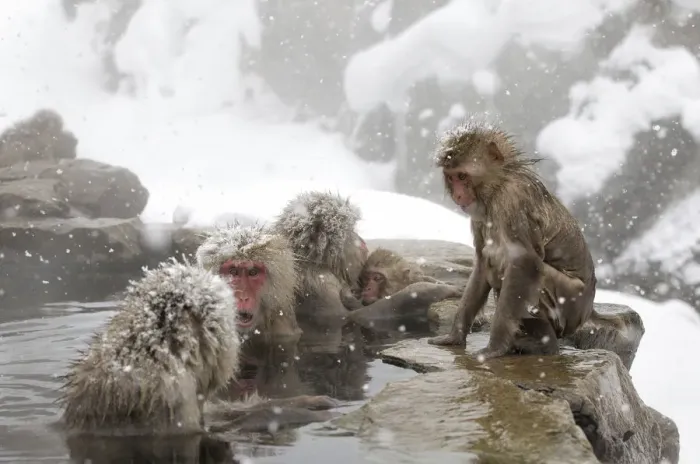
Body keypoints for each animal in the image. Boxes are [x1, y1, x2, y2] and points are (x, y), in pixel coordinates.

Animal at [271, 191, 461, 324]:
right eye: (350, 231)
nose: (362, 241)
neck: (317, 263)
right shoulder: (320, 283)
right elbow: (348, 317)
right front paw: (425, 290)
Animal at [426, 121, 627, 360]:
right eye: (451, 177)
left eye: (463, 176)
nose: (457, 195)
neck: (498, 186)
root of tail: (590, 310)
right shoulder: (479, 216)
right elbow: (482, 263)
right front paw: (455, 336)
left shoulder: (512, 202)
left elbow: (524, 261)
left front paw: (495, 348)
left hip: (571, 303)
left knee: (521, 272)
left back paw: (545, 346)